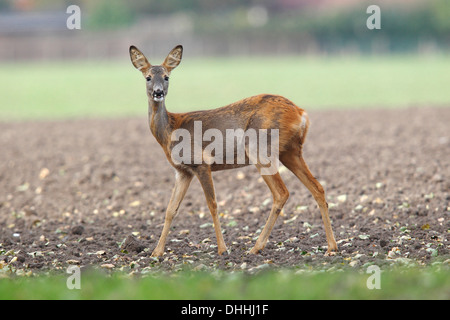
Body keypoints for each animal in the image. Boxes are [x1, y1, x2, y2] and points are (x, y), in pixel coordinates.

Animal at [127, 45, 338, 256]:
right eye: (148, 77)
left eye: (166, 76)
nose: (158, 92)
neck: (170, 130)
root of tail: (301, 113)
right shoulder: (182, 171)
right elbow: (171, 209)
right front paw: (156, 253)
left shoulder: (201, 163)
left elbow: (212, 205)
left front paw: (222, 249)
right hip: (291, 151)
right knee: (317, 188)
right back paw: (331, 247)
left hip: (259, 148)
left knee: (281, 193)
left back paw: (256, 247)